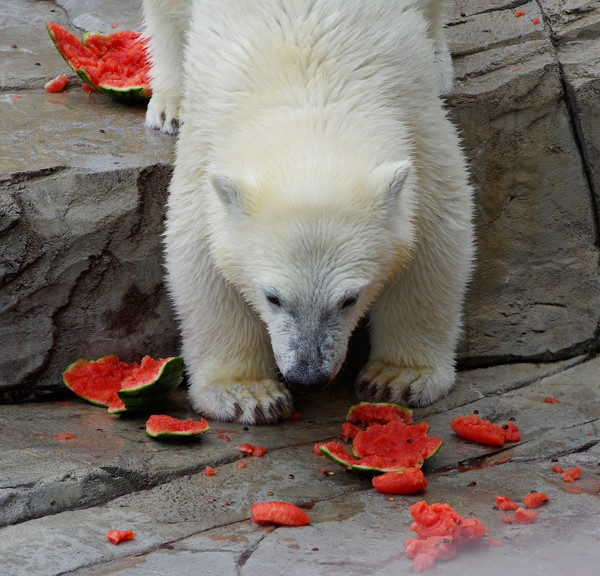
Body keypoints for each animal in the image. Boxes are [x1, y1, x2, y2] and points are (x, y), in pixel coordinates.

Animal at [143, 0, 476, 424]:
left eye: (350, 298)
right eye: (273, 297)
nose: (308, 376)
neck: (309, 81)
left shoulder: (418, 127)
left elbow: (436, 235)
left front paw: (398, 378)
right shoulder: (207, 145)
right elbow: (199, 256)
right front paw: (248, 394)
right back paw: (172, 102)